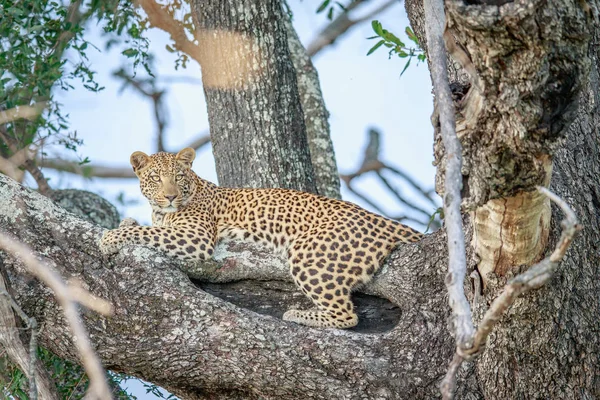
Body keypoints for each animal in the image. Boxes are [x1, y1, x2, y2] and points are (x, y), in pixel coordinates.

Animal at [99, 147, 422, 328]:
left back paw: (298, 315)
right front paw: (125, 222)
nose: (169, 196)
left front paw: (110, 238)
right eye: (155, 178)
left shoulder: (195, 236)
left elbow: (145, 231)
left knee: (347, 316)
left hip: (309, 253)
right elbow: (146, 226)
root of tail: (383, 220)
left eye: (179, 177)